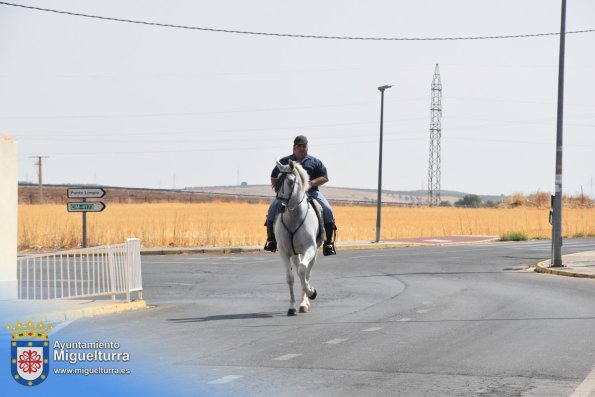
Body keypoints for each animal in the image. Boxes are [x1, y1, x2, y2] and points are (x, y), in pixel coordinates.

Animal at [274, 159, 324, 314]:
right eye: (277, 181)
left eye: (291, 182)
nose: (280, 206)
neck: (294, 218)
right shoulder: (284, 252)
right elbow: (290, 277)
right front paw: (291, 307)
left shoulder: (310, 248)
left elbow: (303, 271)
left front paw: (311, 292)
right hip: (295, 254)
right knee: (298, 272)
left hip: (313, 253)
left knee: (306, 273)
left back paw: (304, 303)